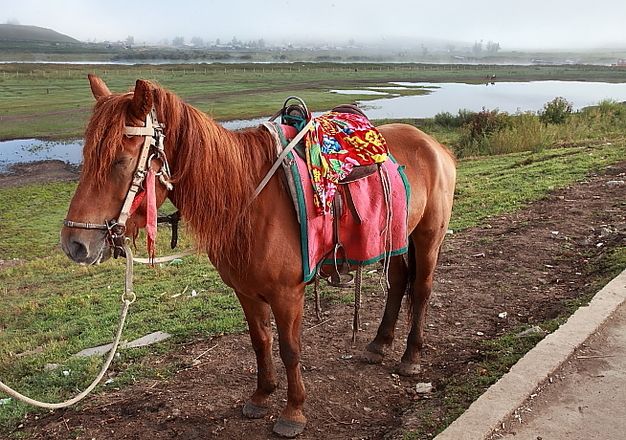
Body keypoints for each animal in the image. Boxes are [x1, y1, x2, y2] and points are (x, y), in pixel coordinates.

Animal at [59, 75, 454, 436]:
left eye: (121, 160)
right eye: (86, 158)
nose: (75, 244)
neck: (248, 200)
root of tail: (433, 144)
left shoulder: (287, 294)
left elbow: (290, 348)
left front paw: (293, 411)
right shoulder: (246, 292)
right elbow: (260, 341)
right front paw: (262, 395)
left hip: (427, 236)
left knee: (421, 289)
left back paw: (410, 357)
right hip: (397, 236)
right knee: (398, 282)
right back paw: (379, 344)